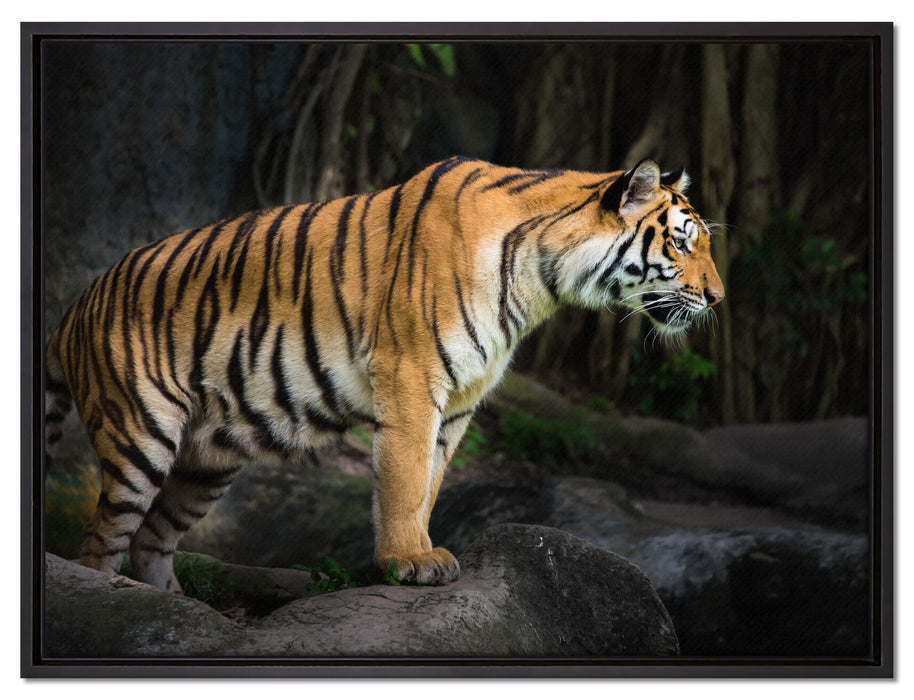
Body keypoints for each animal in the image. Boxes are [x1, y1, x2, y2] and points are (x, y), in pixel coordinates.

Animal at [44, 155, 724, 590]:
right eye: (682, 243)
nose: (718, 298)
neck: (542, 282)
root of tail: (75, 305)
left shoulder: (461, 399)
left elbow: (430, 482)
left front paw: (423, 549)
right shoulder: (410, 376)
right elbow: (402, 477)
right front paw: (408, 562)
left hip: (208, 460)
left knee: (152, 543)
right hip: (141, 435)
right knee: (101, 541)